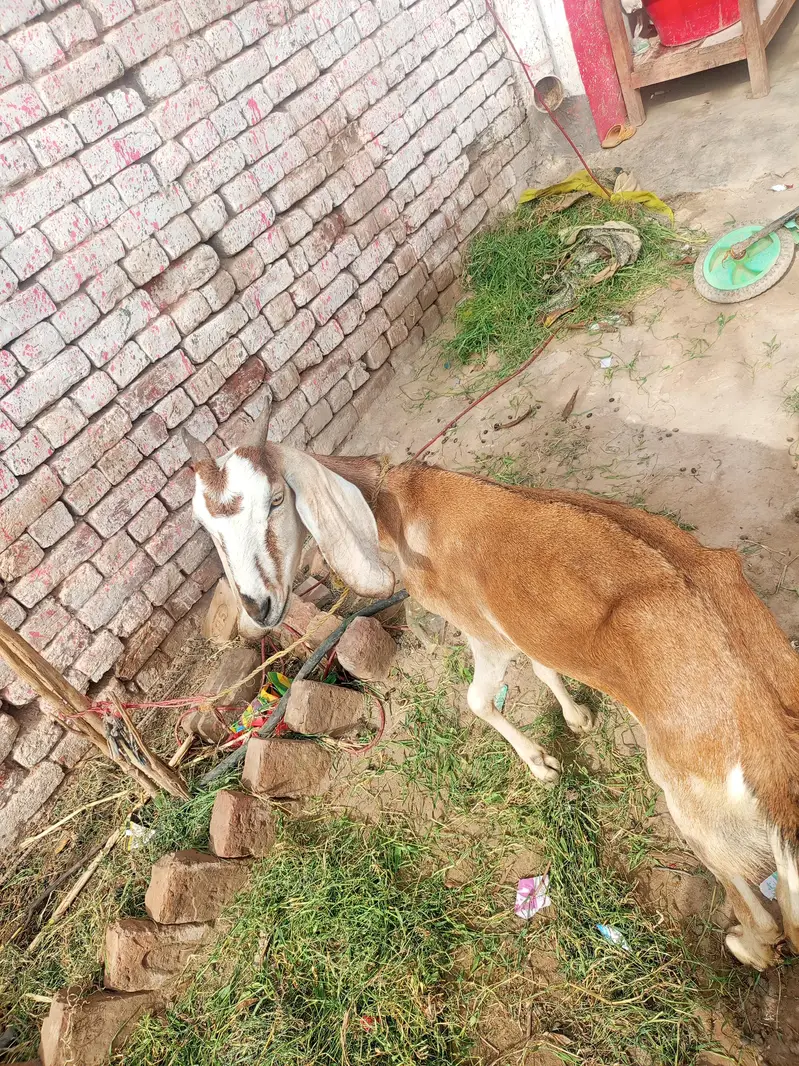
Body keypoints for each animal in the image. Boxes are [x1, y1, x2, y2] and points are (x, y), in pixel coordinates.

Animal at [185, 400, 799, 971]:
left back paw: (747, 948)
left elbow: (479, 700)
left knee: (763, 916)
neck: (400, 507)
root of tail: (772, 746)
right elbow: (544, 665)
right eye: (208, 527)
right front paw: (576, 719)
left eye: (275, 500)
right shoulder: (515, 626)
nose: (258, 607)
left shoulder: (483, 633)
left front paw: (543, 766)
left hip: (693, 808)